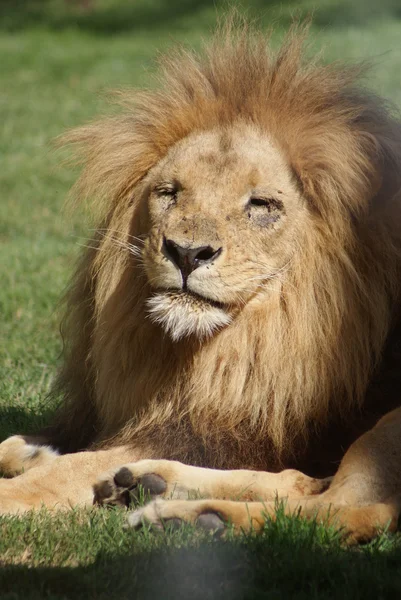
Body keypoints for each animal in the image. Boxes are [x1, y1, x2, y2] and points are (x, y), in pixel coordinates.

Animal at [1, 21, 400, 540]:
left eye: (261, 205)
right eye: (169, 193)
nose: (187, 253)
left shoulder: (224, 433)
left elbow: (69, 469)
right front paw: (31, 449)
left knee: (347, 509)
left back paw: (188, 517)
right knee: (306, 484)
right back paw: (149, 483)